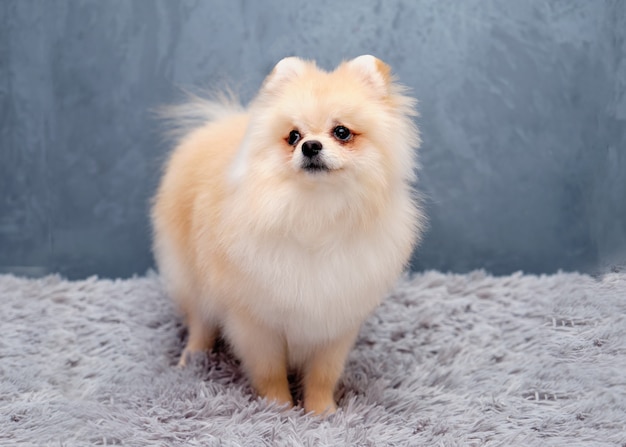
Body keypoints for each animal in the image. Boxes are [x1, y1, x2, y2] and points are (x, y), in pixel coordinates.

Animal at [151, 55, 424, 416]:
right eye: (293, 136)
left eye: (341, 132)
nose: (310, 145)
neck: (314, 210)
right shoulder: (257, 322)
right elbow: (270, 372)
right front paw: (277, 409)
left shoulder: (335, 321)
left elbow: (323, 374)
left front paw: (323, 411)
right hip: (193, 278)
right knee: (200, 322)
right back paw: (192, 358)